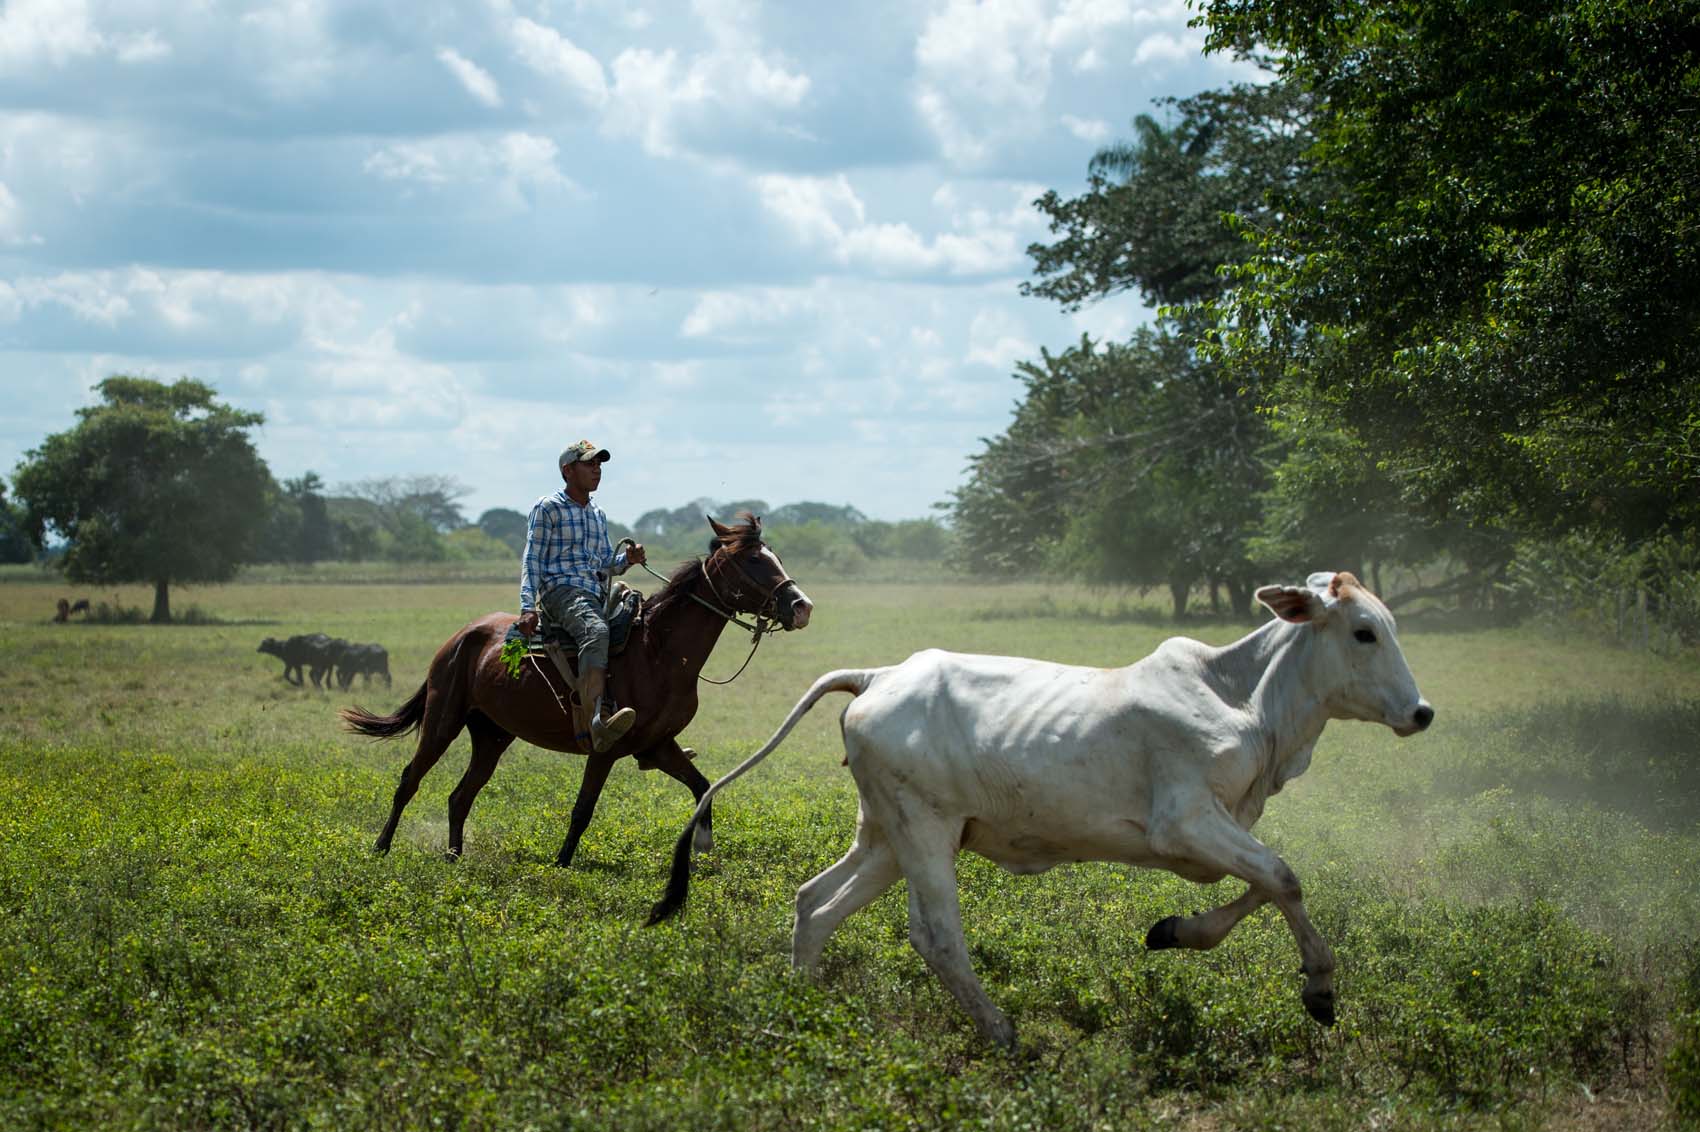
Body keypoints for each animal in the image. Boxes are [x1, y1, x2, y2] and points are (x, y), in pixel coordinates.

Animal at [341, 513, 812, 863]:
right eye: (753, 561)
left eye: (775, 556)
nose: (801, 606)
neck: (659, 651)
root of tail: (460, 639)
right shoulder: (606, 747)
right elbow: (583, 809)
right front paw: (562, 862)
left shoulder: (658, 745)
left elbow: (702, 787)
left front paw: (703, 850)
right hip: (444, 719)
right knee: (409, 780)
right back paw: (381, 848)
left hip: (492, 735)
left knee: (460, 796)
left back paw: (455, 856)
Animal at [649, 567, 1434, 1047]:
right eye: (1363, 631)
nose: (1421, 712)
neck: (1244, 698)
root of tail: (878, 675)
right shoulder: (1185, 823)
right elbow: (1283, 878)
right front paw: (1320, 989)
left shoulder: (1216, 835)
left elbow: (1261, 886)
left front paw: (1174, 931)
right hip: (924, 830)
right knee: (935, 935)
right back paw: (1000, 1030)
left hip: (886, 836)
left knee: (815, 903)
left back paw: (801, 1005)